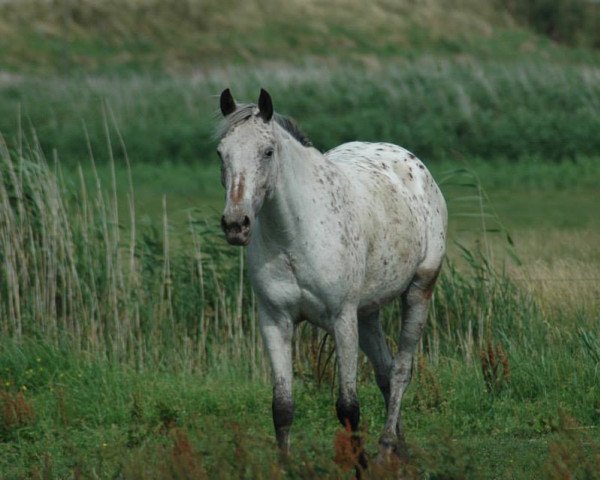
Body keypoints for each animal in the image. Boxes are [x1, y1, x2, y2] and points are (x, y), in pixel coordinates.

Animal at [216, 87, 446, 468]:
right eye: (222, 153)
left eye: (267, 151)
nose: (236, 224)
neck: (295, 233)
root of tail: (413, 164)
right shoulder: (274, 320)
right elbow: (282, 407)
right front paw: (286, 468)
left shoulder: (342, 319)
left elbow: (348, 408)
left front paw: (360, 465)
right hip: (367, 313)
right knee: (385, 373)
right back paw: (399, 449)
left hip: (417, 291)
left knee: (400, 371)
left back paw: (386, 447)